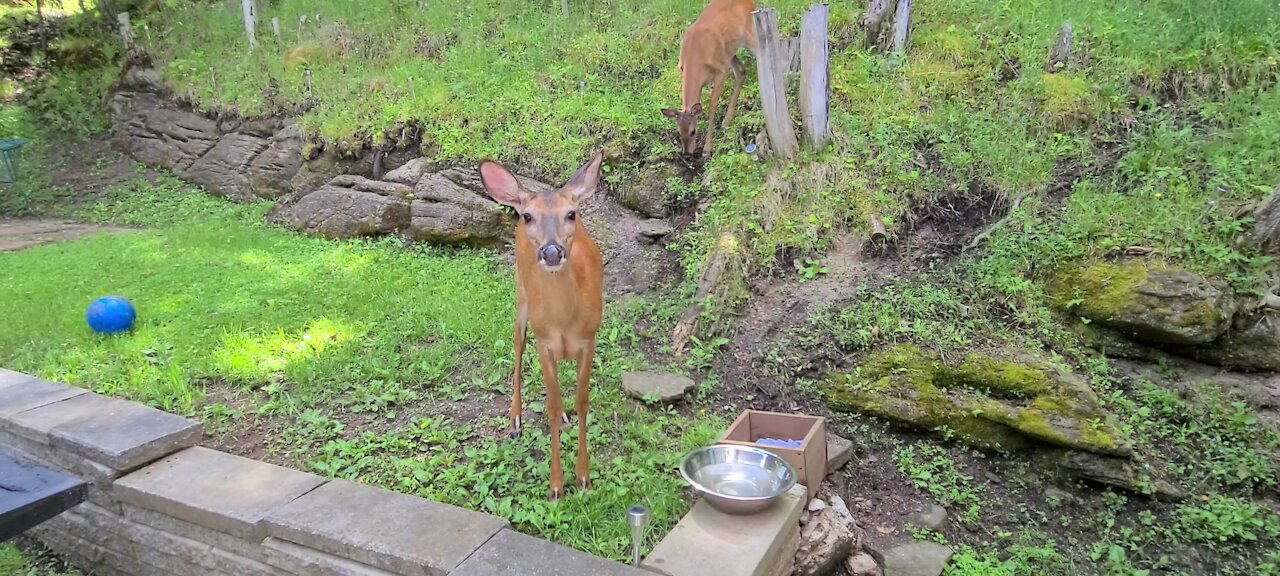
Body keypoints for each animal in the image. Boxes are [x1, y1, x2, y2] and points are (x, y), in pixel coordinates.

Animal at [481, 151, 604, 499]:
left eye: (571, 214)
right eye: (529, 217)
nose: (551, 252)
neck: (564, 322)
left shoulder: (589, 339)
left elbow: (582, 401)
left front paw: (584, 477)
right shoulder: (544, 341)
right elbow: (548, 406)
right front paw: (556, 485)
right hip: (521, 296)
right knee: (517, 343)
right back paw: (515, 420)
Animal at [665, 0, 752, 156]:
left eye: (693, 131)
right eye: (679, 132)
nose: (687, 153)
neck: (695, 57)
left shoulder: (721, 71)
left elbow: (712, 106)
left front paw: (707, 149)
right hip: (729, 52)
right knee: (741, 71)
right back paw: (727, 120)